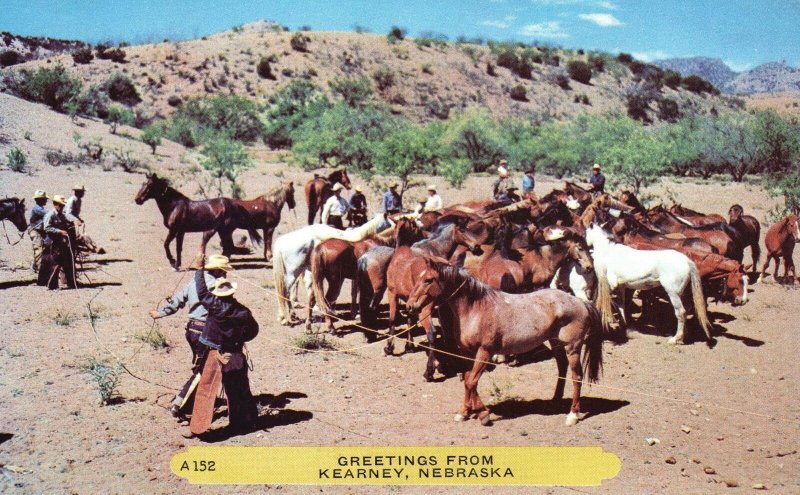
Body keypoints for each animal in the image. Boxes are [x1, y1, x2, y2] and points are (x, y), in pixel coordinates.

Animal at [134, 172, 262, 270]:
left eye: (150, 185)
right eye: (143, 184)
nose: (137, 200)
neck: (174, 206)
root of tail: (235, 204)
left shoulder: (174, 230)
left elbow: (166, 245)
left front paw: (173, 262)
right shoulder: (180, 232)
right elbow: (178, 248)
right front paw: (177, 265)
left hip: (224, 230)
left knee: (228, 248)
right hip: (222, 231)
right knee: (228, 248)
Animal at [410, 262, 604, 428]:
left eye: (428, 280)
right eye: (419, 277)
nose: (411, 305)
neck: (476, 309)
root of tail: (581, 302)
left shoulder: (484, 352)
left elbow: (472, 382)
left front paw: (483, 414)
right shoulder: (467, 353)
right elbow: (467, 380)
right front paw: (464, 413)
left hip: (573, 347)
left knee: (576, 376)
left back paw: (572, 415)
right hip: (555, 342)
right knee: (562, 368)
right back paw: (554, 401)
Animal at [580, 224, 712, 344]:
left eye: (584, 233)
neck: (608, 253)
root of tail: (687, 261)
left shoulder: (611, 286)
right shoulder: (620, 287)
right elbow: (621, 305)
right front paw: (624, 325)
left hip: (673, 294)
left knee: (681, 313)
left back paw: (675, 339)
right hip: (682, 294)